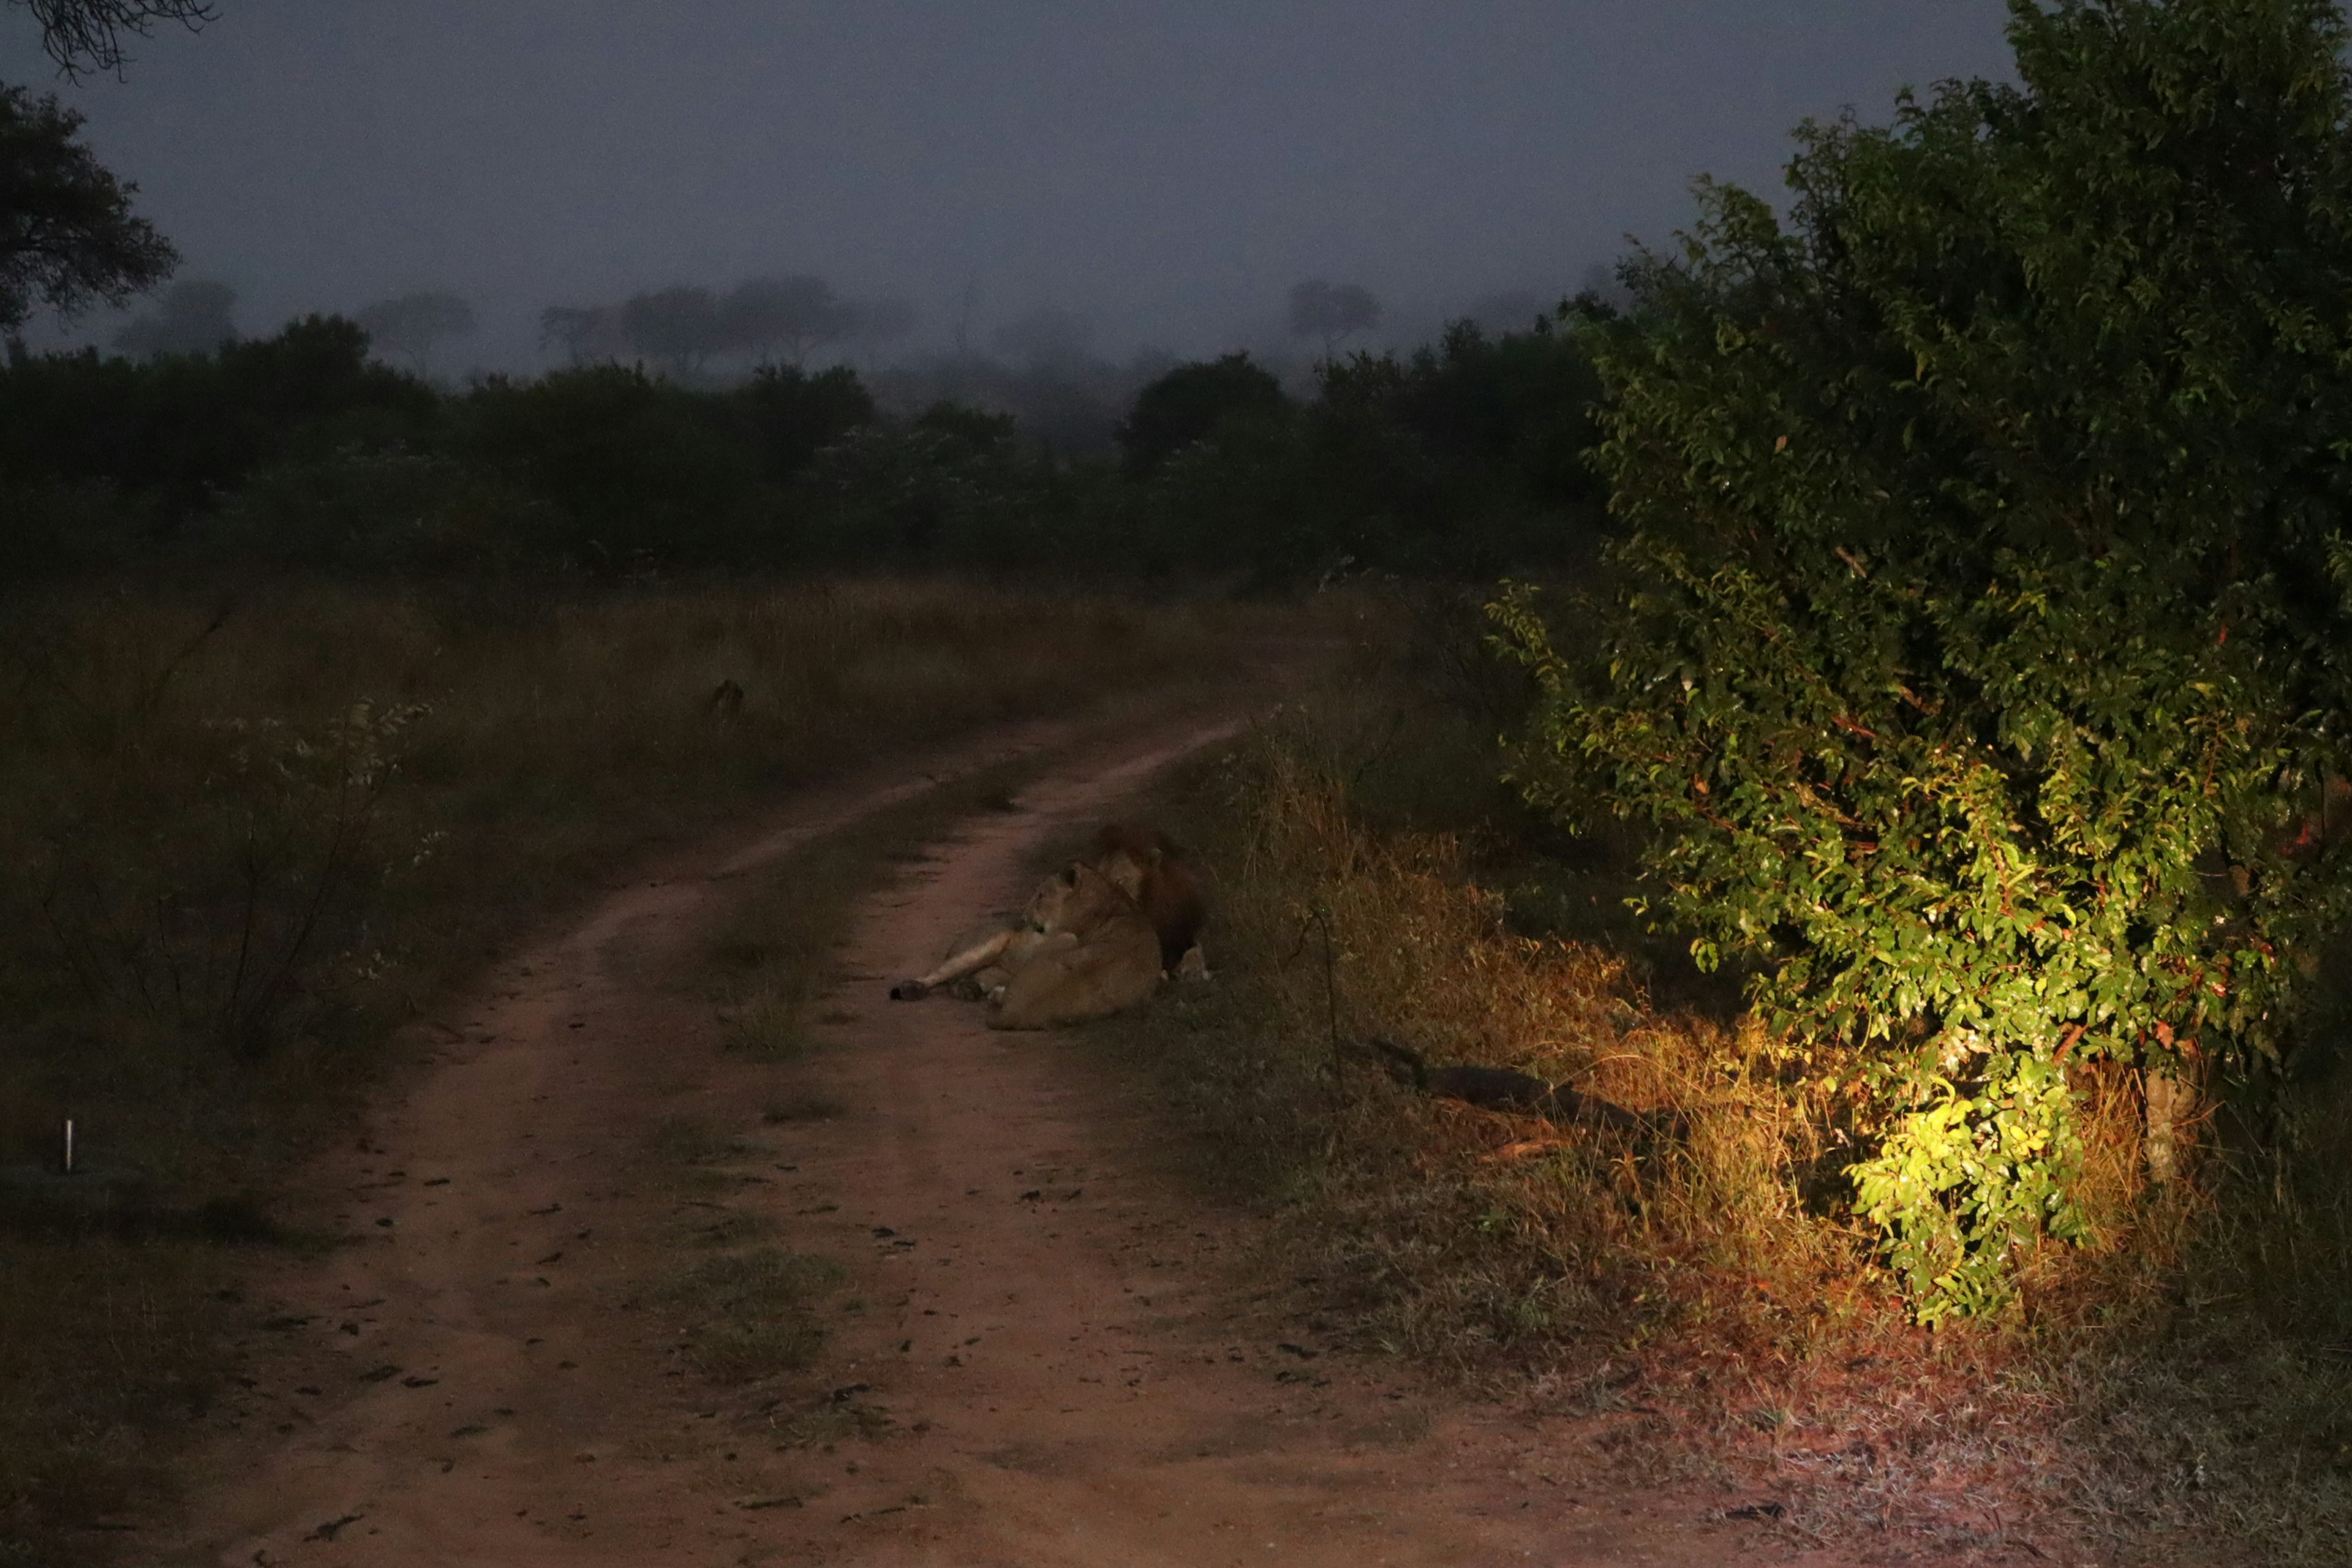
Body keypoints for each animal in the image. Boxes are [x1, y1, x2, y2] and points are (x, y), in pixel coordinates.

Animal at [884, 860, 1161, 1030]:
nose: (1024, 919)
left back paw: (969, 989)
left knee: (964, 980)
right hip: (988, 942)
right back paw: (914, 988)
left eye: (1041, 895)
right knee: (941, 973)